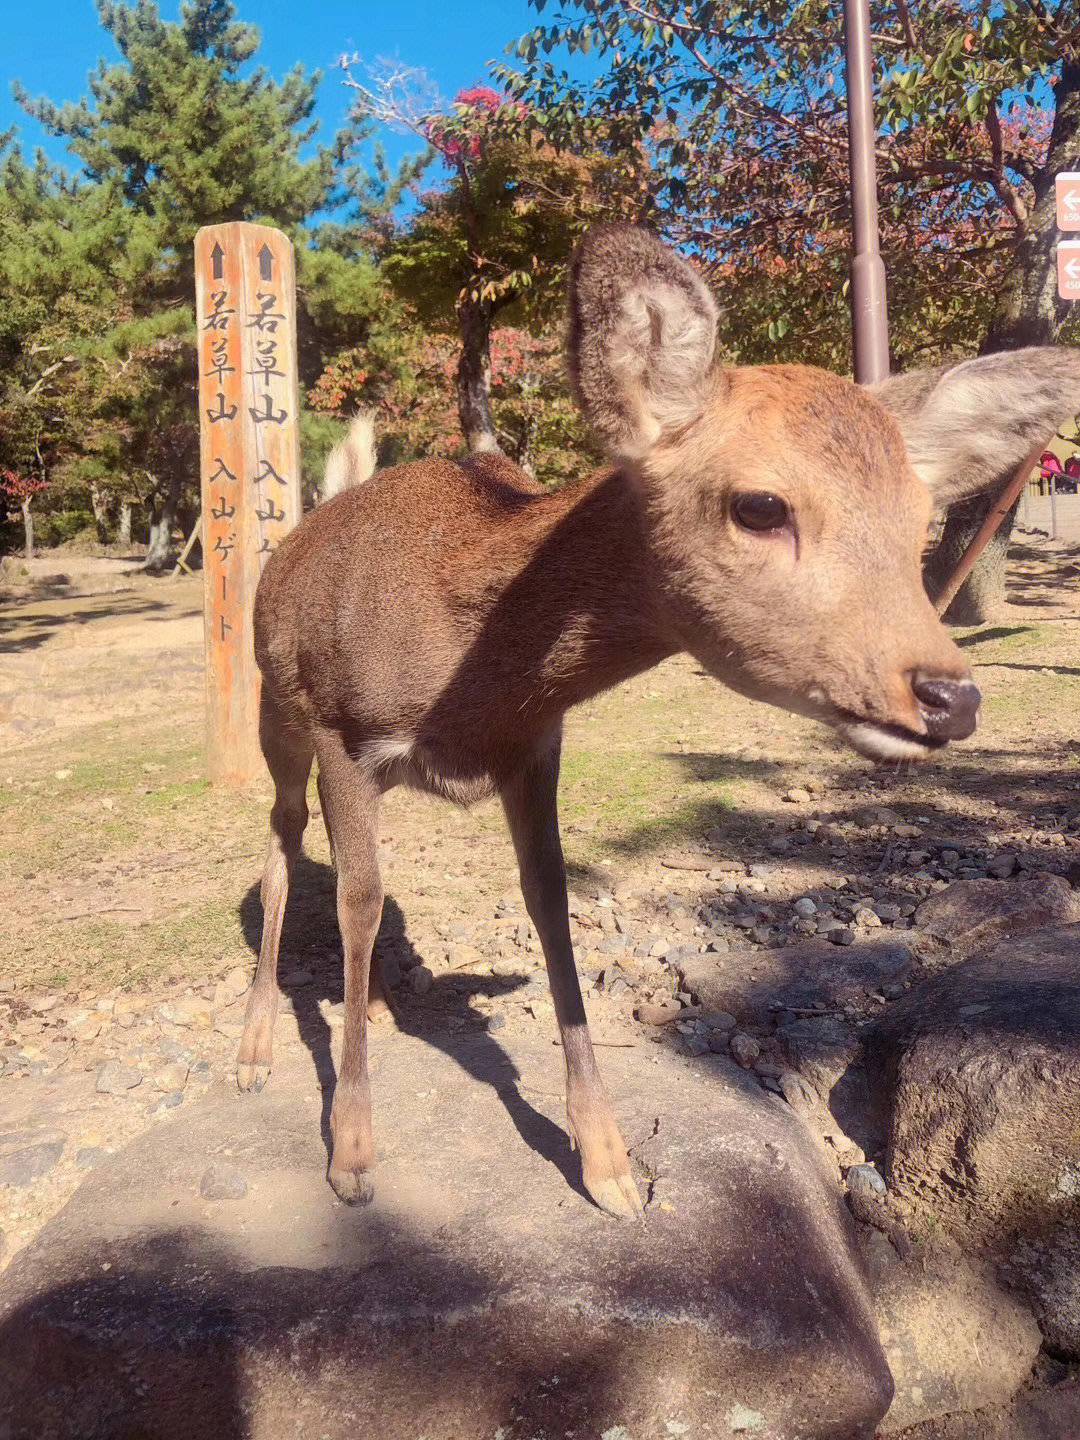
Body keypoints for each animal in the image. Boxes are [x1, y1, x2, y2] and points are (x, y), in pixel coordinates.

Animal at [240, 224, 984, 1215]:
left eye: (921, 515)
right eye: (760, 504)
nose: (951, 695)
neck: (468, 682)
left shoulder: (536, 745)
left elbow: (550, 899)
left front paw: (612, 1165)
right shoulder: (344, 735)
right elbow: (358, 903)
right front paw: (353, 1157)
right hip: (274, 711)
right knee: (281, 836)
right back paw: (251, 1050)